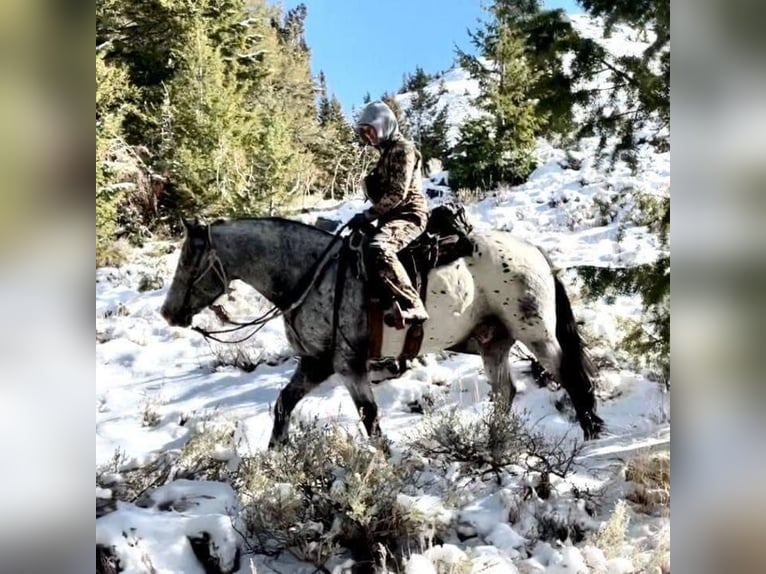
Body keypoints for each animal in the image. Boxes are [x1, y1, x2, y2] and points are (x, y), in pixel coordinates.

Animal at [162, 218, 608, 448]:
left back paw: (591, 432)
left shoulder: (348, 365)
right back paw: (493, 439)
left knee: (572, 377)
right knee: (505, 393)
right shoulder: (315, 364)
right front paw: (275, 456)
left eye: (188, 259)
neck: (310, 274)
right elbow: (283, 405)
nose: (168, 313)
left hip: (536, 334)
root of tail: (534, 251)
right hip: (492, 342)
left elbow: (369, 417)